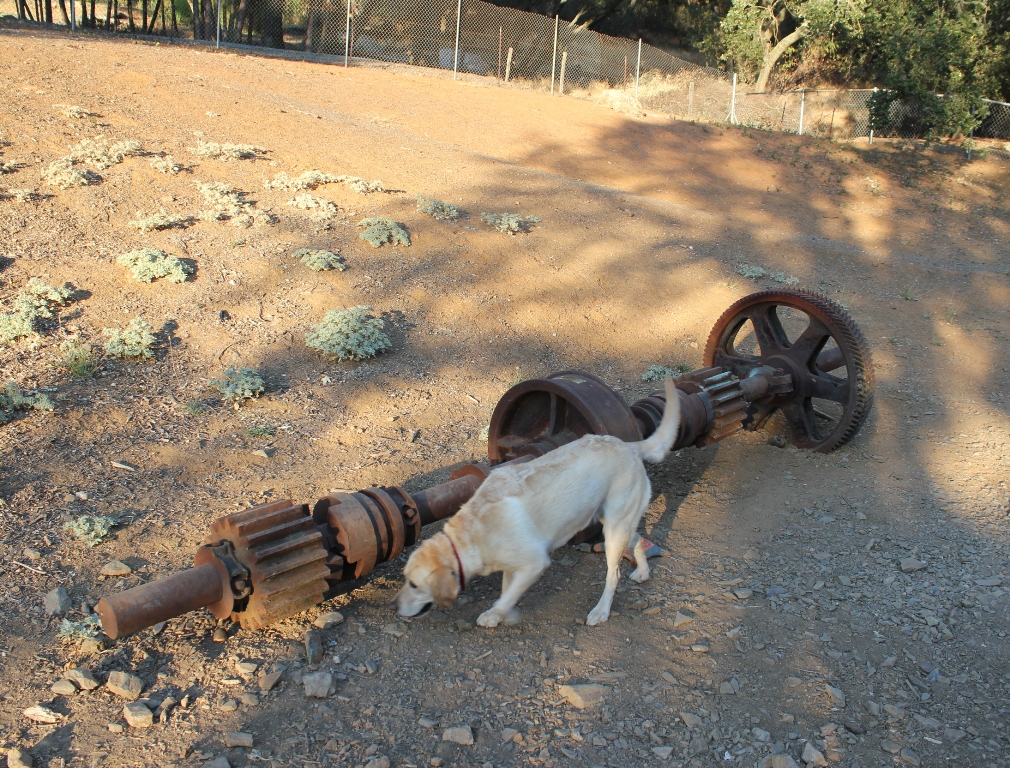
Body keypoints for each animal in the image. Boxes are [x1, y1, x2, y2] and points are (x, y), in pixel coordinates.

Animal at [391, 375, 678, 626]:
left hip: (614, 528)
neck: (472, 531)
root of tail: (629, 445)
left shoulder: (534, 563)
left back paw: (601, 611)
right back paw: (642, 571)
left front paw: (495, 616)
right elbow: (506, 592)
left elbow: (506, 598)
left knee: (613, 574)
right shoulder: (511, 567)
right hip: (612, 521)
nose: (394, 606)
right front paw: (502, 614)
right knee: (637, 538)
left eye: (415, 584)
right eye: (404, 579)